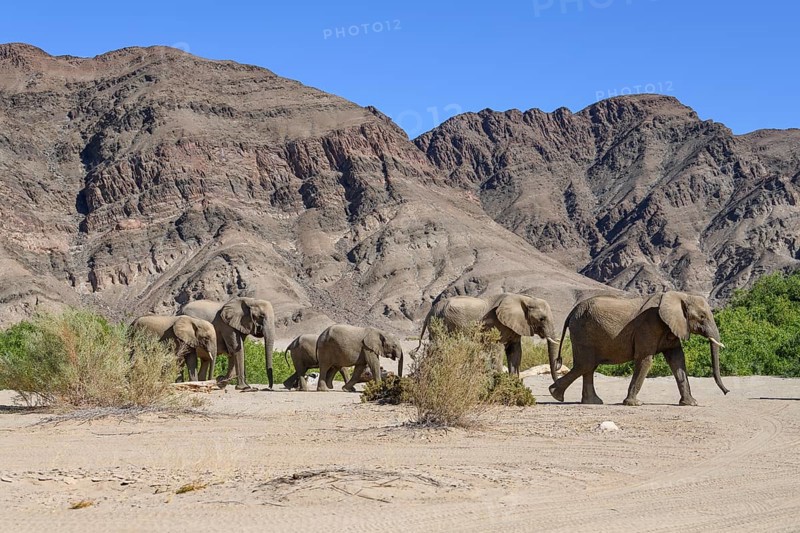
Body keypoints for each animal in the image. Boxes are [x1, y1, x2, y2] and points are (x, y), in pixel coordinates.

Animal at [413, 293, 561, 380]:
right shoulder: (497, 324)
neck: (525, 298)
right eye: (542, 319)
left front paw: (514, 383)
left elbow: (515, 352)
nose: (559, 363)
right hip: (441, 323)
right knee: (438, 349)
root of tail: (430, 311)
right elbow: (498, 349)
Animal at [548, 291, 730, 406]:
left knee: (589, 366)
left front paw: (691, 404)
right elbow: (645, 360)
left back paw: (591, 402)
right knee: (585, 364)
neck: (681, 296)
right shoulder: (649, 325)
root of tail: (571, 312)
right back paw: (555, 394)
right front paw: (634, 404)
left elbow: (677, 359)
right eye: (702, 317)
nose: (727, 392)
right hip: (582, 332)